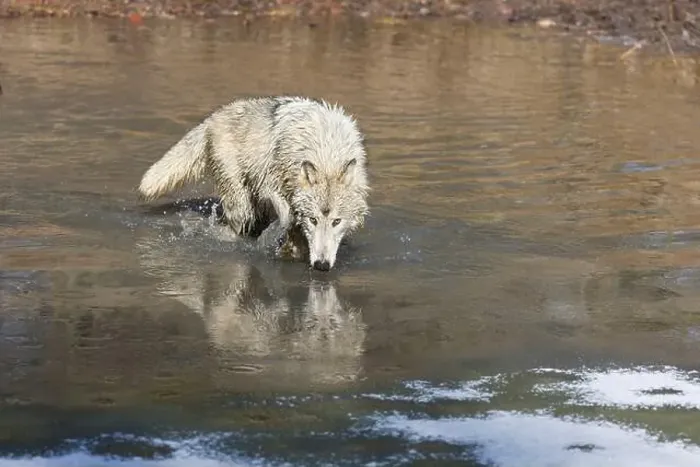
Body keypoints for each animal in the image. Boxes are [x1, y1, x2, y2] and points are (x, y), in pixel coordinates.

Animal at [138, 95, 370, 271]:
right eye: (313, 220)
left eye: (337, 221)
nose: (322, 265)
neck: (326, 151)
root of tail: (213, 117)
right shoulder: (272, 184)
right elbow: (288, 217)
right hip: (241, 205)